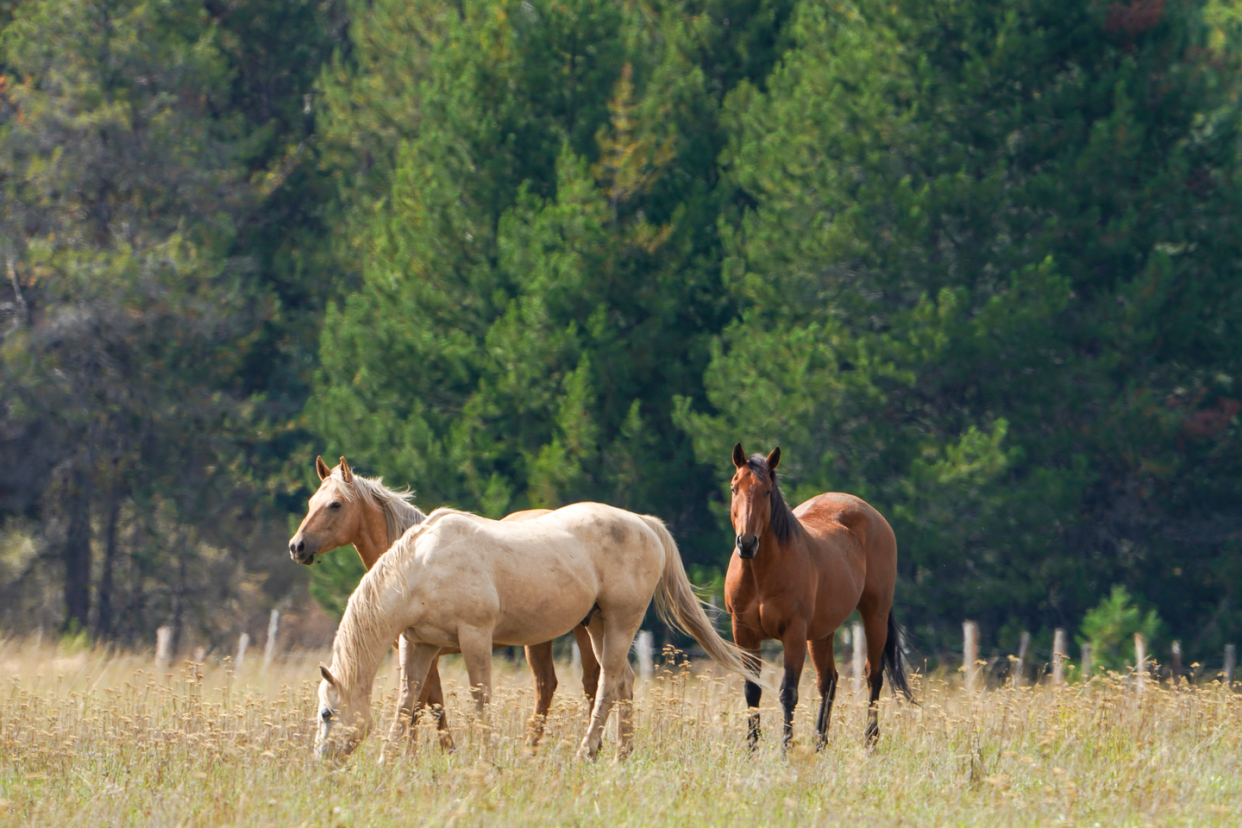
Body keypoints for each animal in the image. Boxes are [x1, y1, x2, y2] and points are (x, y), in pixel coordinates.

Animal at [290, 456, 601, 749]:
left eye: (335, 504)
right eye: (311, 502)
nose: (297, 546)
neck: (414, 563)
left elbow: (422, 705)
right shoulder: (423, 648)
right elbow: (428, 702)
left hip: (580, 631)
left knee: (591, 681)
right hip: (539, 638)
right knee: (548, 685)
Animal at [312, 501, 755, 759]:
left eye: (326, 713)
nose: (322, 761)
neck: (422, 565)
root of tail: (645, 524)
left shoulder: (475, 637)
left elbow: (480, 698)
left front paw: (486, 757)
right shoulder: (418, 644)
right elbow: (409, 701)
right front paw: (389, 760)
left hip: (620, 621)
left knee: (607, 682)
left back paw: (586, 750)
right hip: (598, 624)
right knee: (623, 681)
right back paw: (620, 753)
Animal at [725, 446, 914, 749]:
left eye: (767, 491)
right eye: (734, 488)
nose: (747, 543)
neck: (760, 575)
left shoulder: (794, 634)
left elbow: (788, 693)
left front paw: (785, 749)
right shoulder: (743, 633)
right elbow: (752, 691)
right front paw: (751, 749)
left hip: (875, 614)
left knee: (873, 675)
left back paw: (869, 742)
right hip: (822, 632)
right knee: (829, 681)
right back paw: (819, 744)